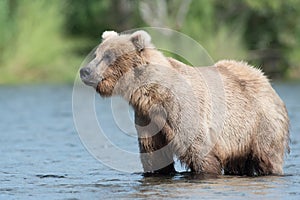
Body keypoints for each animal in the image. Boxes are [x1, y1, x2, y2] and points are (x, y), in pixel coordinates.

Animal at [80, 30, 290, 177]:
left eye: (108, 55)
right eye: (96, 54)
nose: (85, 71)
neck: (154, 94)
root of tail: (263, 77)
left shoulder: (184, 110)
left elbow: (198, 150)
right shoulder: (146, 117)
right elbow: (153, 154)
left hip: (259, 122)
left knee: (267, 156)